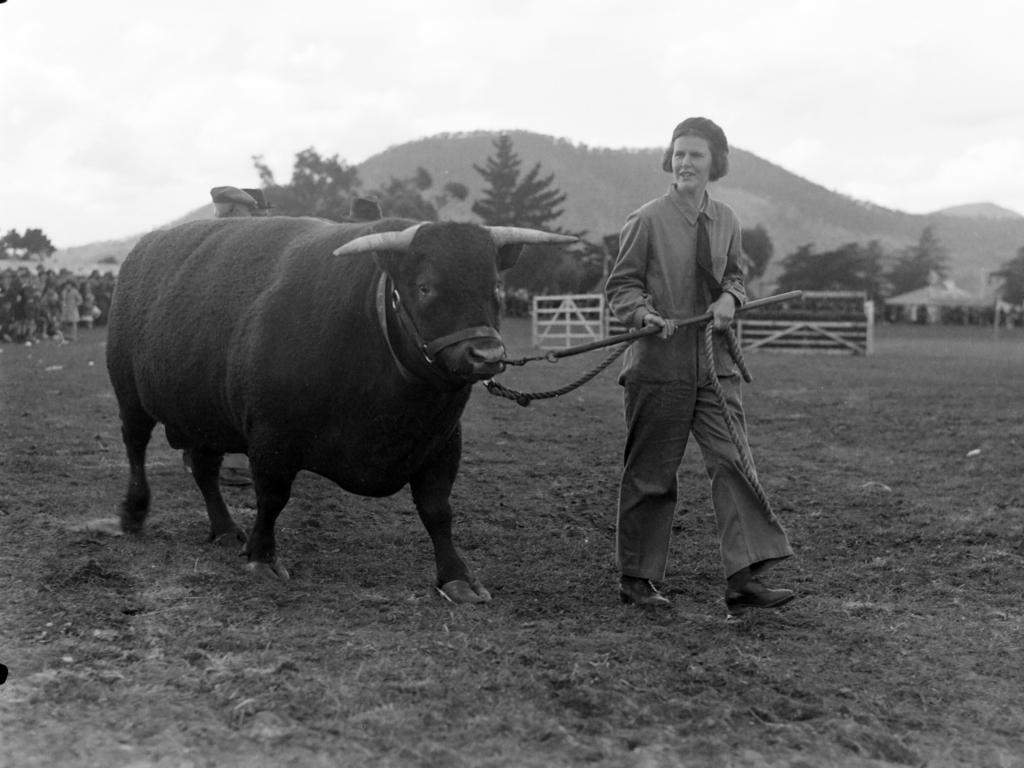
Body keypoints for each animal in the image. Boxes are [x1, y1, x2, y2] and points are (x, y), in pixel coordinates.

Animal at [111, 215, 577, 602]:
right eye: (425, 286)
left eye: (495, 286)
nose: (486, 355)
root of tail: (141, 249)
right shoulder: (271, 438)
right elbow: (272, 498)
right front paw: (262, 557)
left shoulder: (443, 444)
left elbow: (437, 510)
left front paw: (456, 577)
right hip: (130, 396)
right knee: (135, 449)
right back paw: (134, 512)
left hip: (205, 418)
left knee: (205, 471)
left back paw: (225, 530)